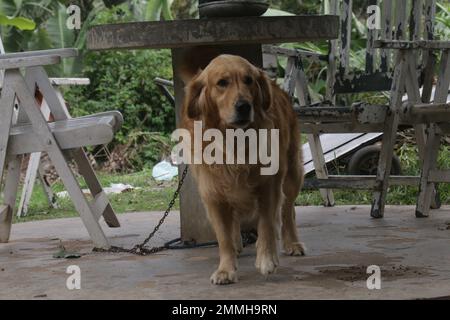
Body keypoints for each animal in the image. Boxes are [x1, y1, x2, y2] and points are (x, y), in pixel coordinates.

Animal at [181, 53, 304, 284]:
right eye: (222, 83)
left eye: (249, 80)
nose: (244, 106)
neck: (234, 140)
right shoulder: (213, 194)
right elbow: (223, 236)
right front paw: (225, 269)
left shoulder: (269, 186)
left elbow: (266, 224)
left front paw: (266, 259)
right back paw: (238, 244)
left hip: (293, 174)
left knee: (287, 210)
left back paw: (292, 243)